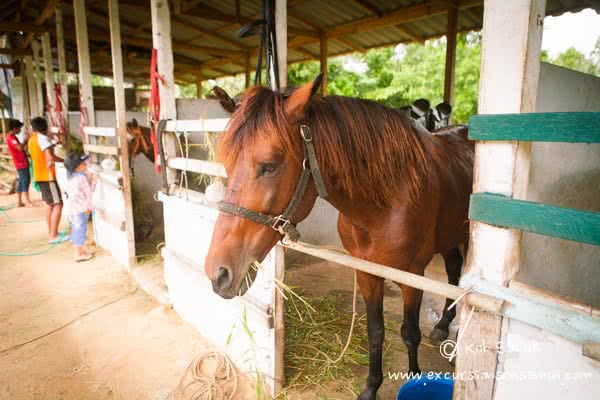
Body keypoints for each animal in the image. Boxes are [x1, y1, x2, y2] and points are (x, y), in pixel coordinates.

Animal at [205, 78, 474, 400]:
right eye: (228, 164)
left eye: (270, 165)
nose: (218, 273)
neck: (388, 201)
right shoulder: (367, 273)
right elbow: (375, 332)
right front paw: (370, 388)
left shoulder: (413, 276)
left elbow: (409, 333)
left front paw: (415, 379)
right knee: (454, 269)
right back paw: (444, 324)